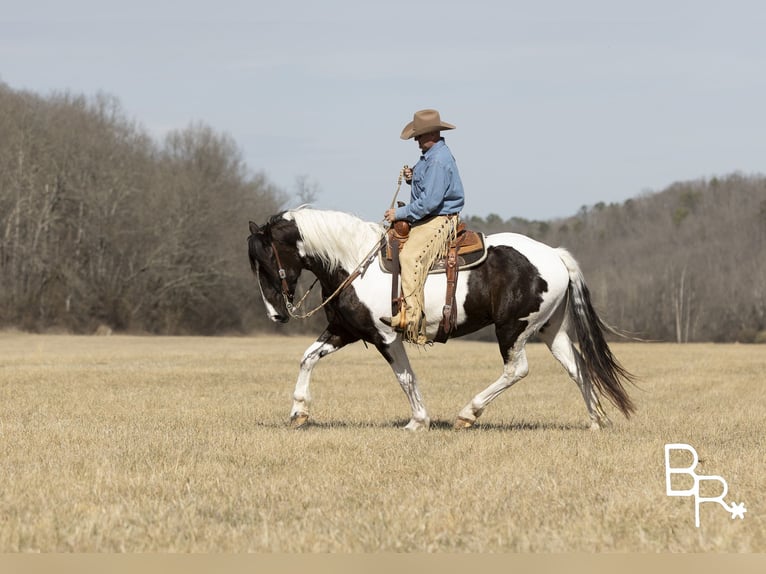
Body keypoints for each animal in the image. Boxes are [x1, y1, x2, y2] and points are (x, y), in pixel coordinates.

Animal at [248, 208, 636, 432]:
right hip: (550, 329)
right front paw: (298, 411)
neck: (355, 262)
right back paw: (595, 421)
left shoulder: (385, 336)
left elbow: (404, 377)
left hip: (514, 328)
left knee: (517, 370)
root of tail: (553, 255)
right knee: (578, 367)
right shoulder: (344, 330)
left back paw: (468, 414)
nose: (276, 314)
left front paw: (418, 421)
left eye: (266, 262)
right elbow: (307, 358)